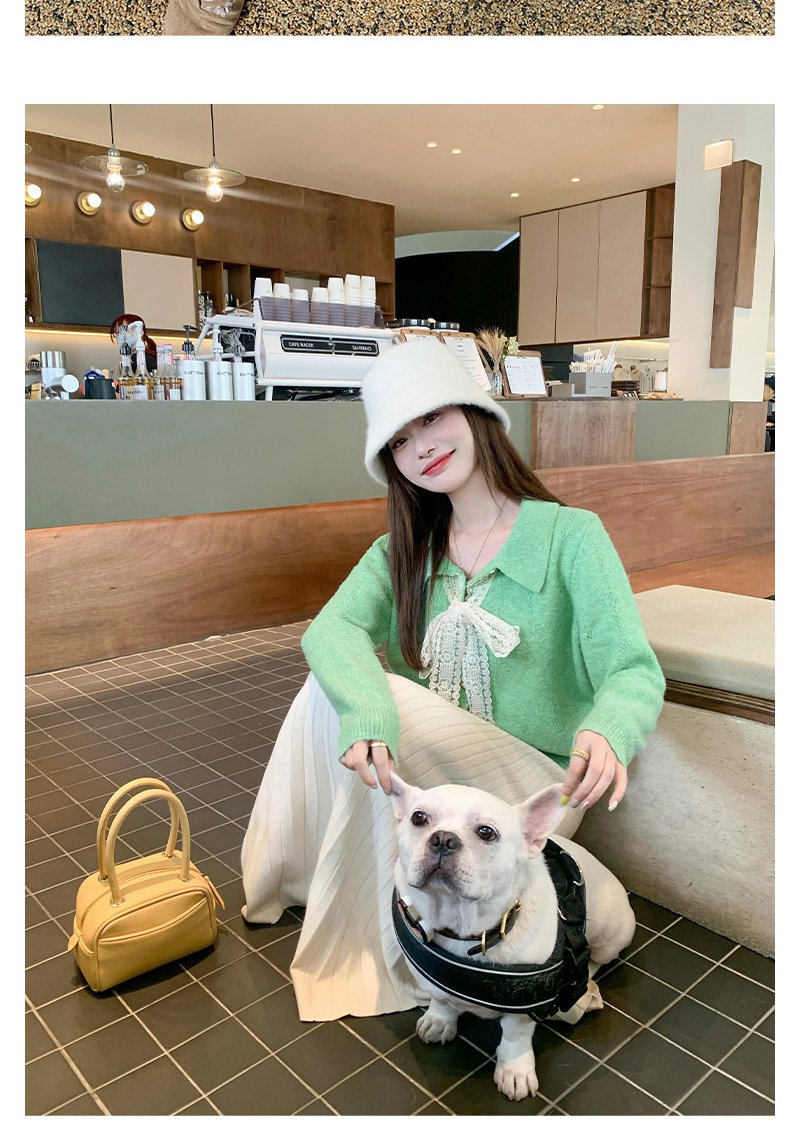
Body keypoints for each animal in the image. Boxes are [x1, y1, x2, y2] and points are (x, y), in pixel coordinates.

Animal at [389, 776, 636, 1101]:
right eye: (418, 818)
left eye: (486, 832)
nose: (443, 838)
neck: (465, 927)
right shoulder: (432, 973)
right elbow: (441, 998)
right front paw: (440, 1020)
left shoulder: (526, 1005)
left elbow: (515, 1036)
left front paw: (514, 1070)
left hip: (612, 933)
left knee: (596, 958)